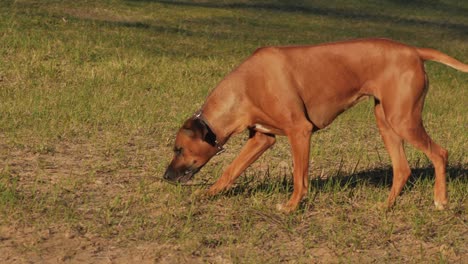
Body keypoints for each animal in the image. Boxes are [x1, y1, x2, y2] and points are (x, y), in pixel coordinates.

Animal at [163, 38, 466, 212]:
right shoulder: (262, 138)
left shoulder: (300, 131)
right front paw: (209, 193)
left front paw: (291, 207)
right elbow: (230, 170)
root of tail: (414, 51)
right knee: (402, 169)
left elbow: (300, 177)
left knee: (440, 153)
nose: (166, 177)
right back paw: (386, 206)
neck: (245, 88)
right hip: (386, 120)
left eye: (178, 149)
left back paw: (440, 200)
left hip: (403, 120)